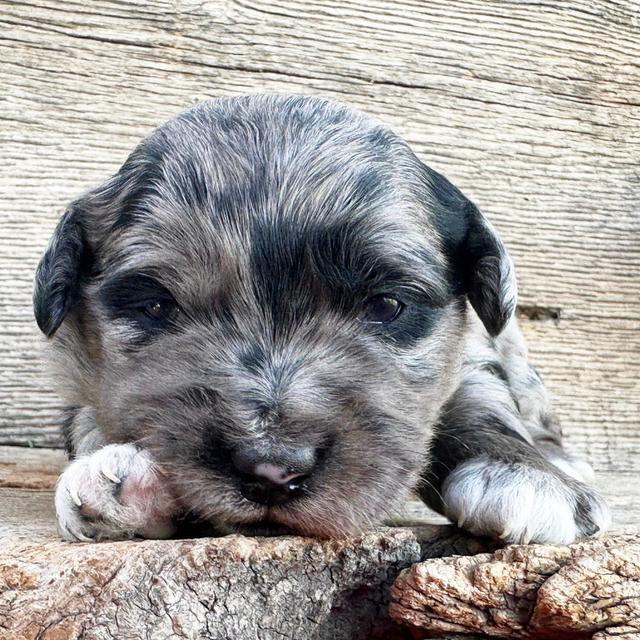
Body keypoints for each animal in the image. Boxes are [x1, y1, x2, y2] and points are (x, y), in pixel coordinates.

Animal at [33, 96, 608, 544]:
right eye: (156, 306)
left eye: (386, 306)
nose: (273, 470)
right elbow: (90, 419)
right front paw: (127, 481)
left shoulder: (474, 354)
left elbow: (481, 403)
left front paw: (524, 475)